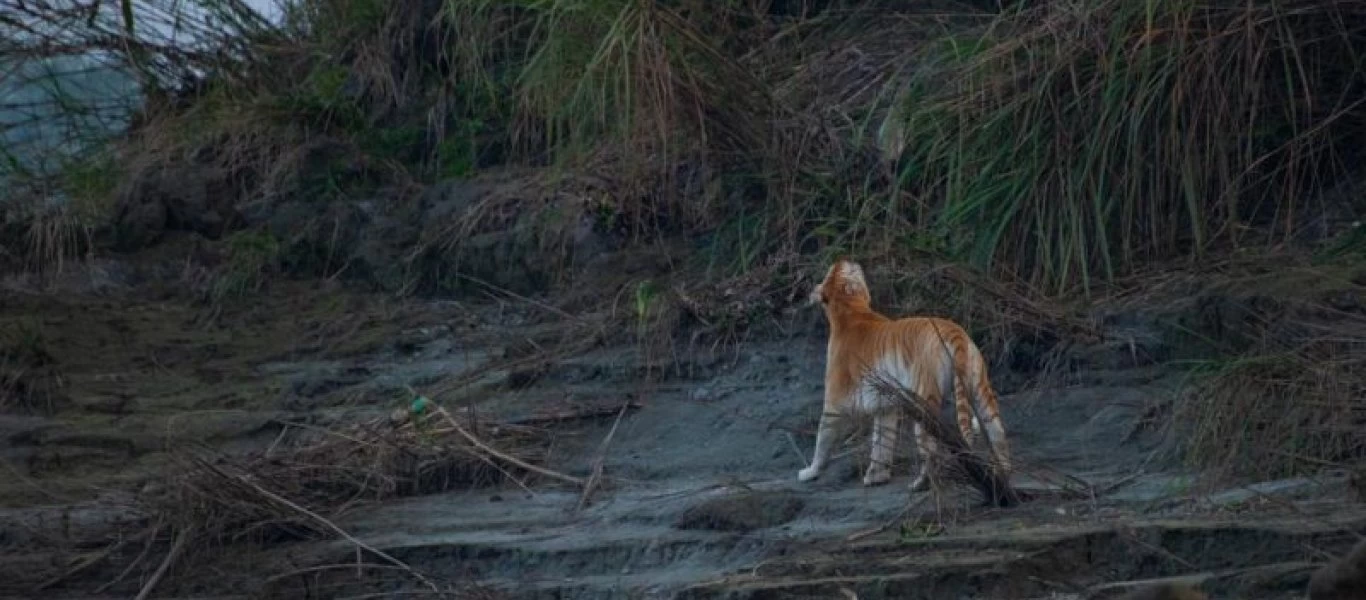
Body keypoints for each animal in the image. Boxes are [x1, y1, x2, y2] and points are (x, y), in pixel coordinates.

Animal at [797, 255, 1010, 492]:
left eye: (833, 271)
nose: (844, 259)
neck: (850, 308)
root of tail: (954, 330)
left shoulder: (834, 402)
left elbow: (823, 437)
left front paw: (810, 472)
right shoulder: (885, 406)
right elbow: (882, 441)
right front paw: (876, 476)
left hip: (924, 400)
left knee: (930, 447)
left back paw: (921, 483)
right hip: (981, 391)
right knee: (997, 432)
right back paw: (1004, 476)